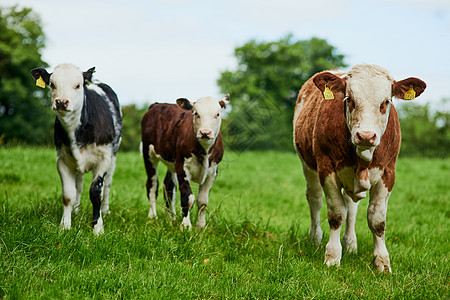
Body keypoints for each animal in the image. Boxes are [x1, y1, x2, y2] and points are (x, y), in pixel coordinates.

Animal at [30, 63, 122, 236]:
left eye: (78, 85)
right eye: (52, 84)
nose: (61, 102)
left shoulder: (103, 160)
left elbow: (96, 193)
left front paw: (98, 228)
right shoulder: (63, 160)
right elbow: (68, 194)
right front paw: (65, 225)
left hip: (113, 156)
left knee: (107, 185)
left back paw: (105, 211)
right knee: (78, 186)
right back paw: (76, 210)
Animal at [141, 95, 229, 229]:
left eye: (217, 114)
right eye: (196, 113)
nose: (205, 132)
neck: (204, 150)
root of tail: (156, 105)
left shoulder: (212, 172)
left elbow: (203, 201)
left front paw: (200, 226)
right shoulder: (182, 168)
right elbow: (188, 198)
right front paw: (186, 226)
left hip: (171, 163)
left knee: (168, 186)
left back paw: (171, 218)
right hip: (148, 153)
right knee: (152, 185)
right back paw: (152, 216)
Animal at [294, 63, 428, 272]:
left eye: (386, 101)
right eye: (349, 99)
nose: (365, 136)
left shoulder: (388, 172)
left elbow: (377, 219)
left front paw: (382, 262)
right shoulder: (326, 167)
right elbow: (336, 213)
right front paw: (332, 256)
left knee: (351, 206)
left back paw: (350, 244)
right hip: (308, 167)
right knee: (315, 199)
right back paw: (315, 238)